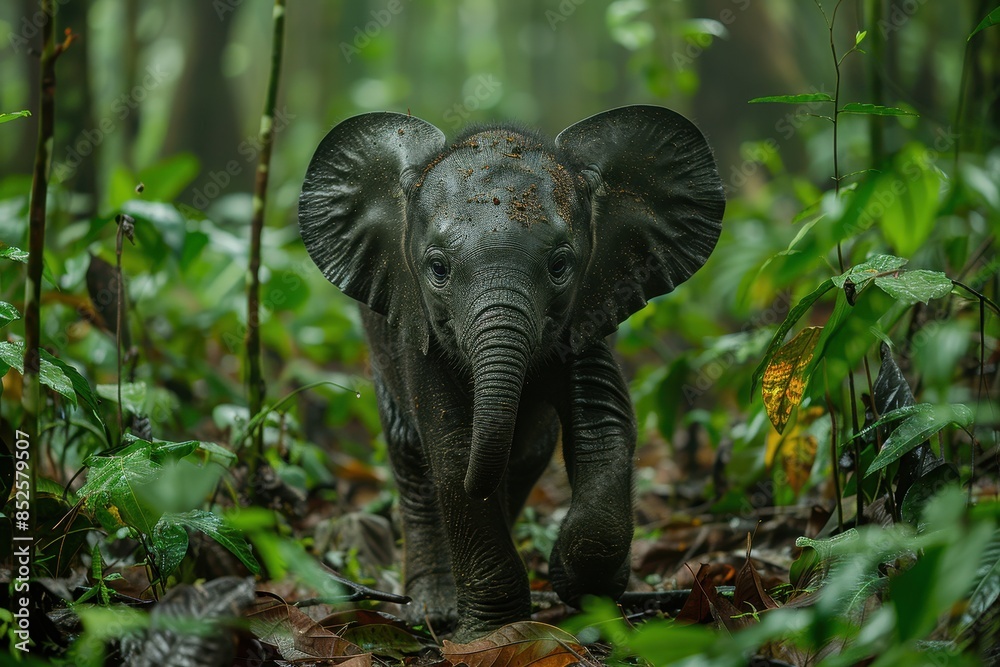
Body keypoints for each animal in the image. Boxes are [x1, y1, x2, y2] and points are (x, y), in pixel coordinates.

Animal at [299, 105, 725, 640]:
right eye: (437, 268)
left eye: (560, 265)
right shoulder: (418, 329)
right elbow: (453, 449)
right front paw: (492, 635)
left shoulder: (588, 310)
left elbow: (601, 429)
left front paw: (582, 589)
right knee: (413, 461)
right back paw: (432, 609)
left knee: (524, 458)